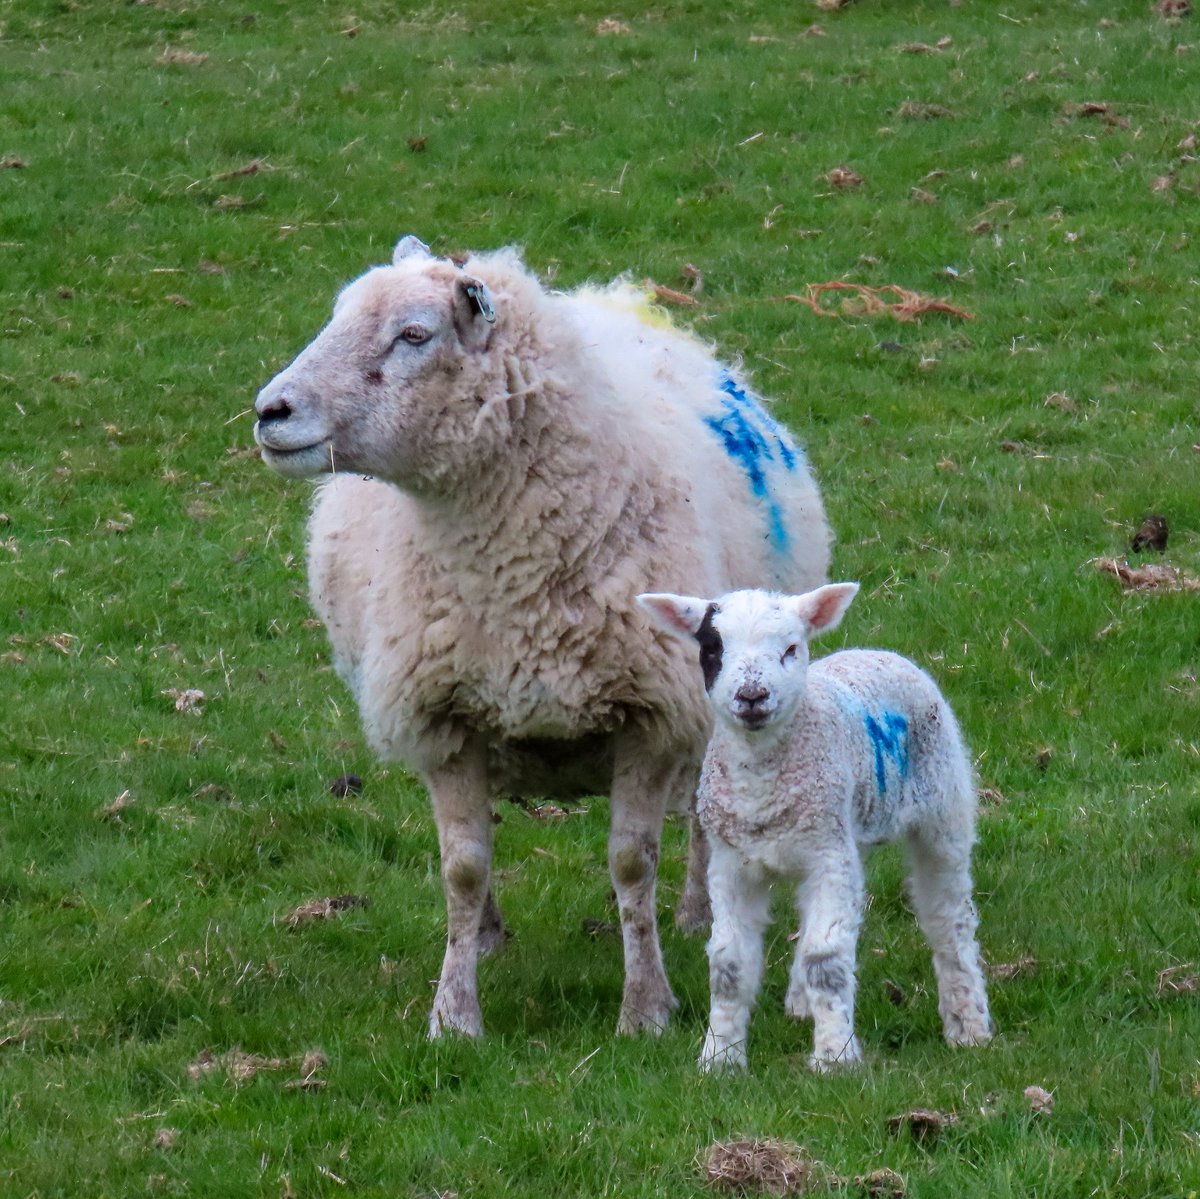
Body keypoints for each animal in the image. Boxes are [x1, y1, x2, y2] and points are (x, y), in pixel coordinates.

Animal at [252, 236, 831, 1040]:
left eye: (414, 336)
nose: (269, 412)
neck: (514, 577)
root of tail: (612, 298)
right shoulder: (445, 717)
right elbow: (462, 868)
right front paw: (455, 1012)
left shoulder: (650, 712)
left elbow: (632, 864)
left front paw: (646, 1007)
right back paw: (491, 934)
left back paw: (696, 912)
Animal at [637, 584, 993, 1072]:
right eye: (712, 649)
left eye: (790, 649)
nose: (752, 695)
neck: (761, 787)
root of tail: (876, 652)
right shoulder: (731, 865)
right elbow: (729, 967)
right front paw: (720, 1059)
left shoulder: (828, 857)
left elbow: (826, 962)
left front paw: (834, 1057)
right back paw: (801, 1004)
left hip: (942, 809)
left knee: (950, 920)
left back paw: (969, 1025)